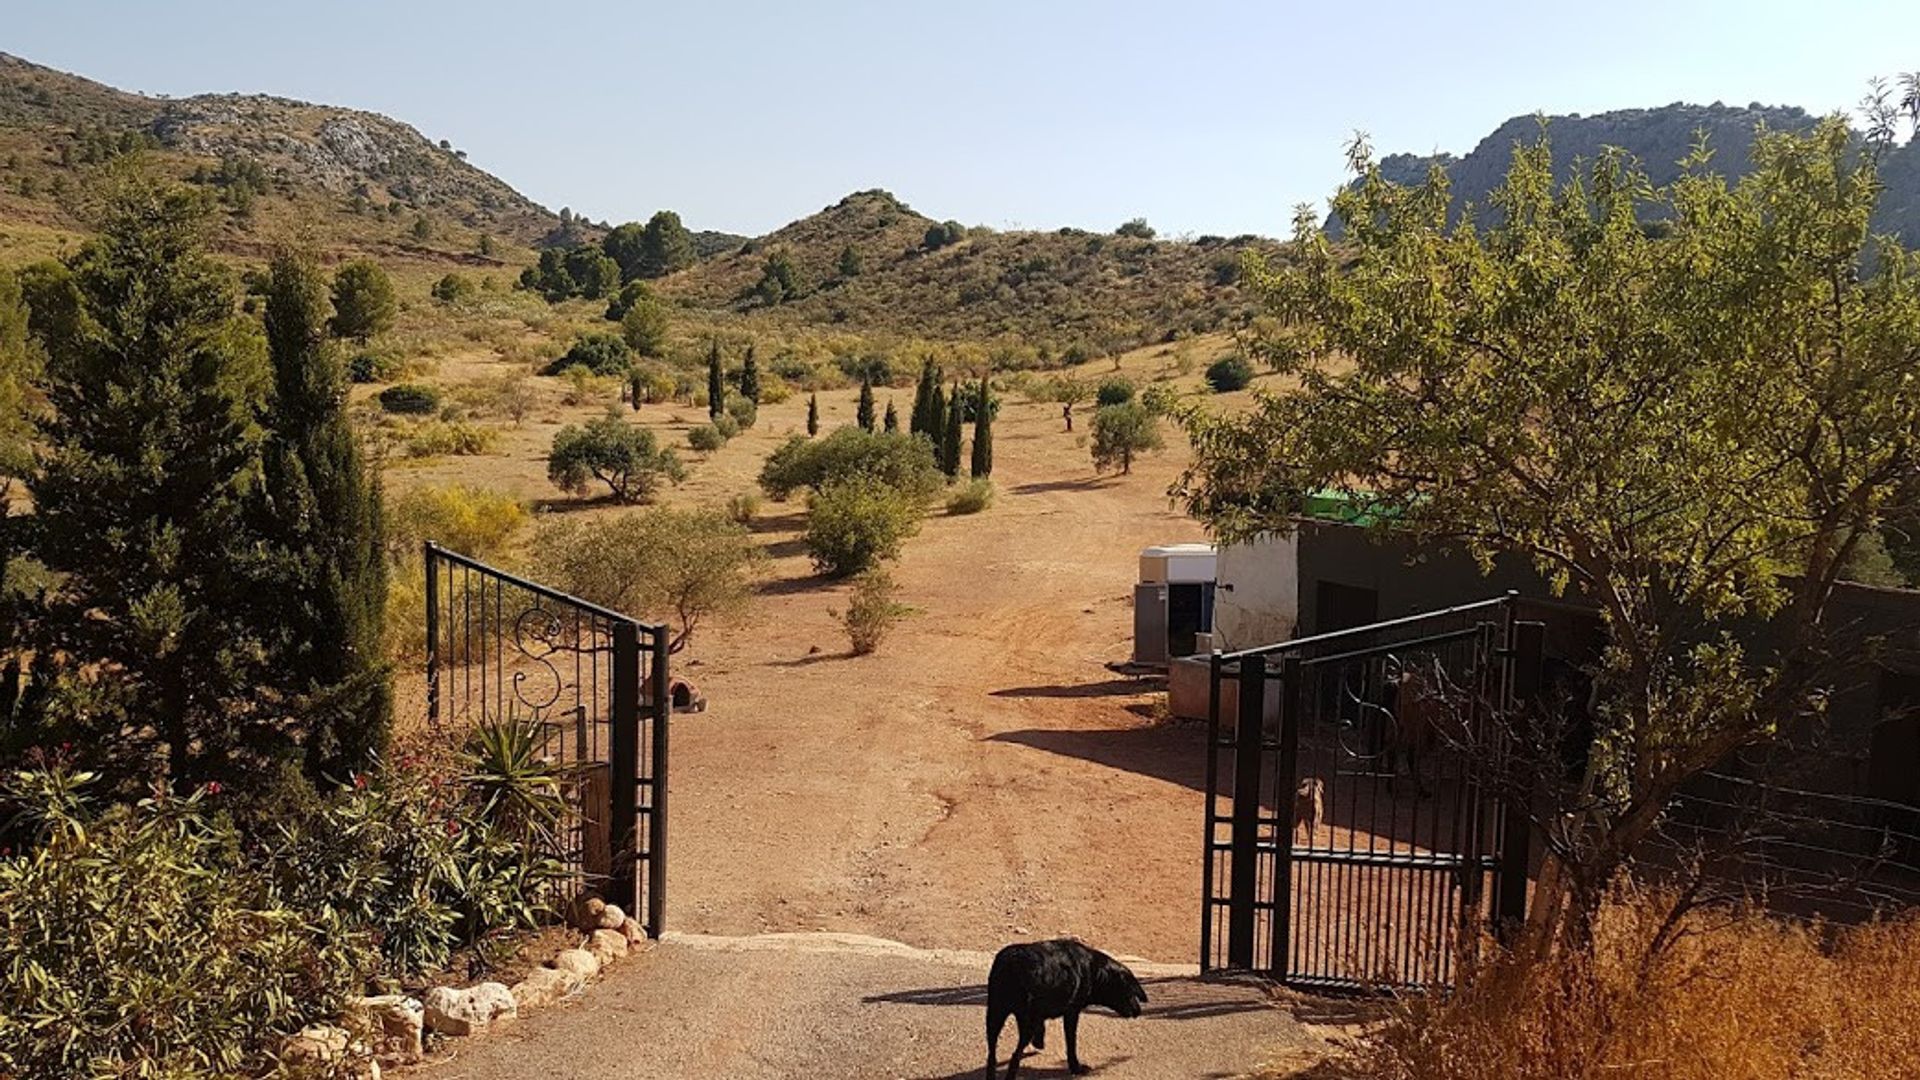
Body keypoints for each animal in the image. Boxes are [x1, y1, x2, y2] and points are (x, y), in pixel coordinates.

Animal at [990, 933, 1136, 1076]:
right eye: (1130, 990)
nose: (1138, 1010)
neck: (1092, 969)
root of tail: (1011, 964)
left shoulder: (1038, 1014)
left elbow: (1041, 1027)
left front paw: (1038, 1043)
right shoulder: (1071, 1013)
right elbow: (1071, 1041)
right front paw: (1076, 1068)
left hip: (995, 1016)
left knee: (992, 1056)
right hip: (1023, 1023)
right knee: (1015, 1056)